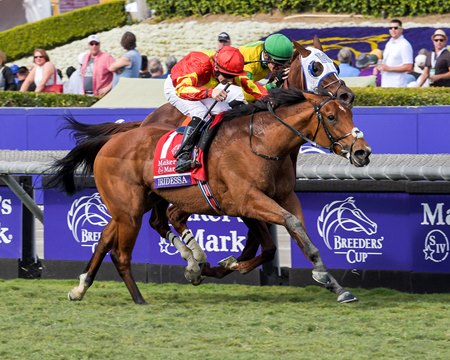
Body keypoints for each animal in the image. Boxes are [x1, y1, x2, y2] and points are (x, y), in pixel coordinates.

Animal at [51, 88, 370, 304]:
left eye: (351, 113)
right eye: (331, 117)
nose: (362, 152)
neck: (261, 143)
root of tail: (114, 138)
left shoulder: (282, 197)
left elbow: (296, 235)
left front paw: (335, 284)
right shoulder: (247, 201)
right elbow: (287, 228)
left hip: (137, 204)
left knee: (108, 238)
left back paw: (80, 288)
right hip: (129, 210)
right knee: (122, 251)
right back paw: (140, 296)